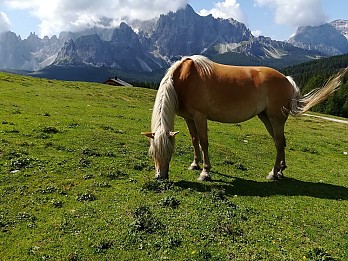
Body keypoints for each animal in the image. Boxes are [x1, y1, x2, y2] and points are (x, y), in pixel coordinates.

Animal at [143, 54, 346, 181]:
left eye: (169, 152)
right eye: (152, 153)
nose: (160, 177)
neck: (185, 78)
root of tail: (287, 80)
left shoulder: (200, 116)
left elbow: (203, 142)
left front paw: (205, 172)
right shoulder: (189, 118)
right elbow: (194, 141)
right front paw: (195, 164)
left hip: (276, 118)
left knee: (279, 143)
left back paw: (273, 173)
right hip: (266, 118)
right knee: (281, 143)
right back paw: (281, 171)